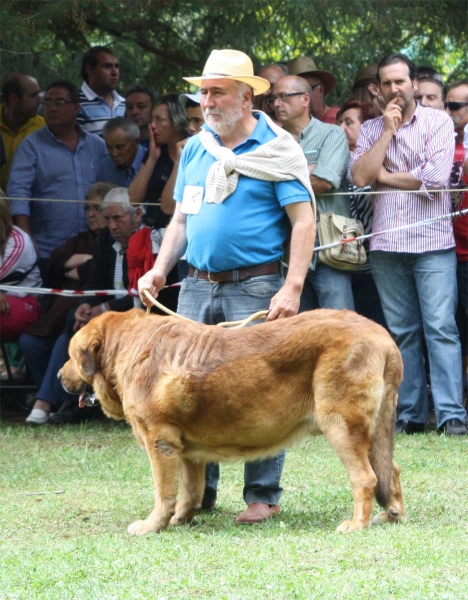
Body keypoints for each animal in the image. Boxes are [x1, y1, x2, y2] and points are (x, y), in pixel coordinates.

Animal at [60, 310, 406, 536]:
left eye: (71, 357)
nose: (60, 377)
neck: (124, 346)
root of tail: (383, 337)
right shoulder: (187, 453)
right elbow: (190, 491)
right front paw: (180, 520)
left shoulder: (159, 442)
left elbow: (164, 492)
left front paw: (152, 525)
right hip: (373, 430)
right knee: (390, 470)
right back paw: (392, 514)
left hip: (340, 425)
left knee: (366, 478)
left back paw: (356, 524)